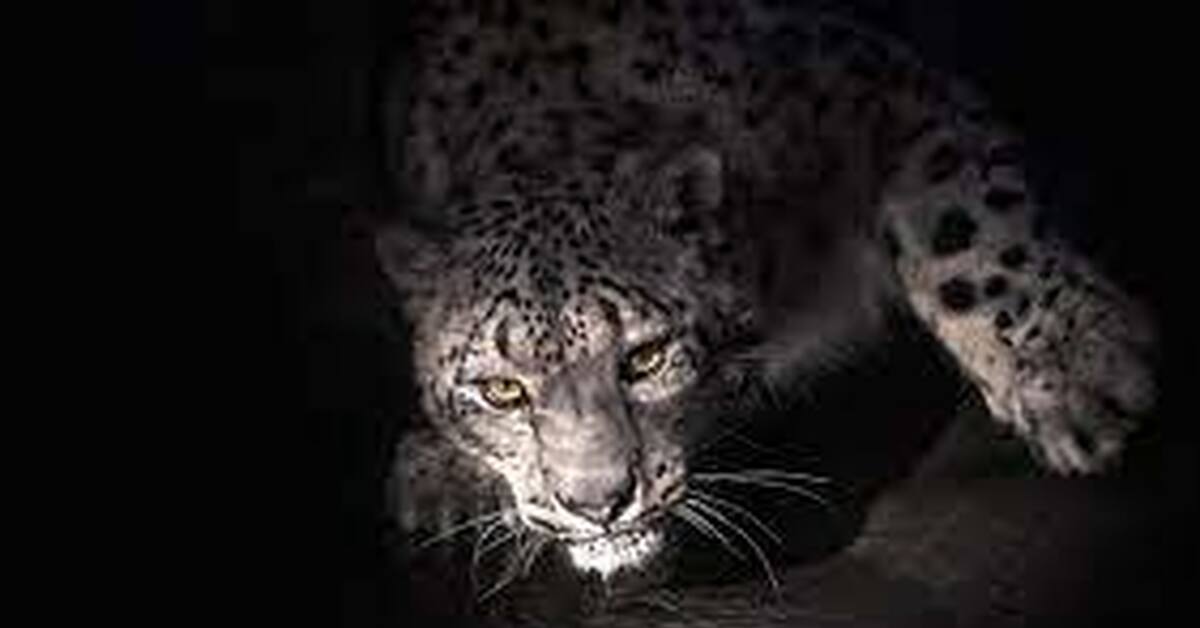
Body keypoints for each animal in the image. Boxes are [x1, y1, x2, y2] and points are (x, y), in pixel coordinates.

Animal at [374, 0, 1159, 593]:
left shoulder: (865, 83)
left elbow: (963, 221)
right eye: (501, 390)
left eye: (645, 357)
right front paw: (440, 473)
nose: (598, 502)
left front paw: (1078, 372)